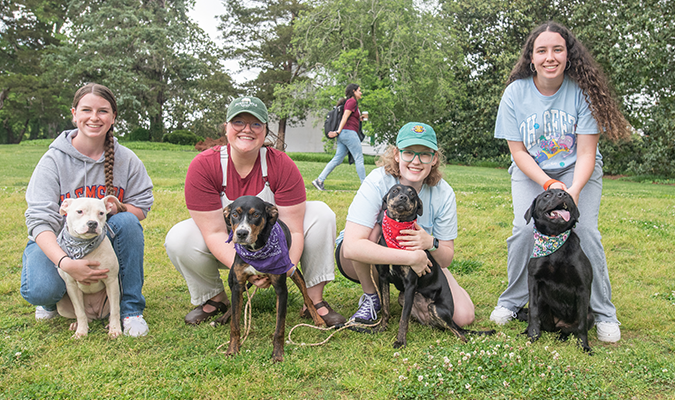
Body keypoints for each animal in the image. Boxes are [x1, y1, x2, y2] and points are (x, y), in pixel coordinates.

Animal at [56, 195, 125, 340]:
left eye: (101, 213)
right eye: (79, 211)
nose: (92, 223)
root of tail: (95, 314)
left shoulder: (111, 282)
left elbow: (115, 310)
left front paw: (115, 330)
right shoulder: (72, 285)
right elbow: (79, 312)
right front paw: (81, 332)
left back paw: (108, 324)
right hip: (62, 307)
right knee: (85, 316)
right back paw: (76, 325)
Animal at [219, 195, 324, 360]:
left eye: (256, 214)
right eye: (234, 214)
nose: (241, 233)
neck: (256, 250)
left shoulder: (281, 289)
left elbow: (279, 328)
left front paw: (278, 354)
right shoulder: (238, 285)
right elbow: (235, 324)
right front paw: (232, 350)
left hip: (294, 270)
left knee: (308, 298)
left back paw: (318, 320)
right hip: (232, 279)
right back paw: (223, 318)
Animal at [374, 184, 496, 346]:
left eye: (412, 194)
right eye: (395, 190)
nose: (403, 197)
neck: (398, 229)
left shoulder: (410, 284)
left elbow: (403, 318)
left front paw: (401, 341)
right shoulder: (383, 278)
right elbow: (386, 308)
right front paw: (381, 329)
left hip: (436, 308)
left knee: (460, 334)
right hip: (403, 297)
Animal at [524, 189, 596, 352]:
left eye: (568, 195)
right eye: (547, 195)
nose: (563, 195)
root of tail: (558, 324)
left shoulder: (583, 287)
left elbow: (582, 324)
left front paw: (584, 346)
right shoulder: (533, 279)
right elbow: (533, 310)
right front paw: (532, 335)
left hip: (591, 316)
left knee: (568, 331)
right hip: (542, 302)